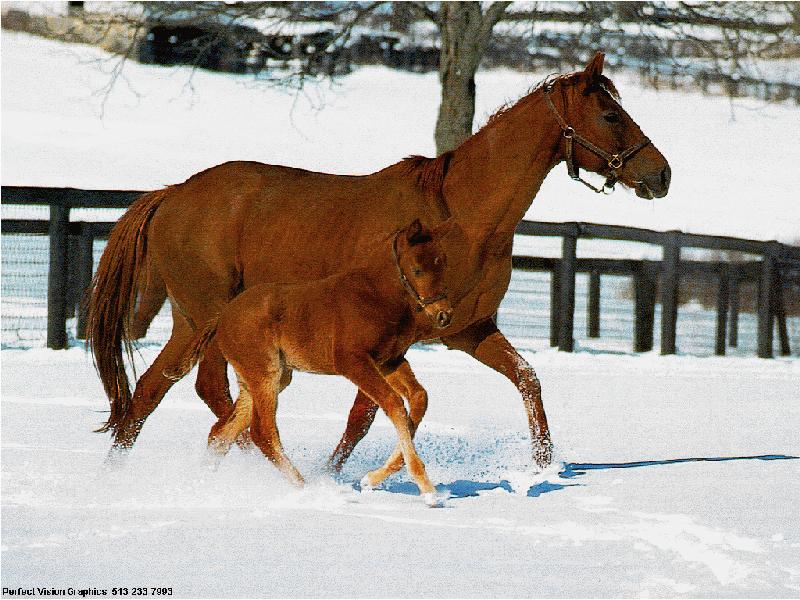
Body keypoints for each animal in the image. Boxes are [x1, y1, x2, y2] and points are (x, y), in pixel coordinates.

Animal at [167, 220, 456, 506]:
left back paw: (204, 482)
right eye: (417, 269)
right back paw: (306, 488)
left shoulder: (389, 361)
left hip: (266, 378)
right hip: (266, 374)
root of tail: (222, 315)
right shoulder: (353, 362)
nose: (443, 315)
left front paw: (371, 479)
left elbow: (419, 398)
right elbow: (395, 405)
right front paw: (427, 490)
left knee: (222, 432)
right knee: (262, 432)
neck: (374, 296)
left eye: (443, 263)